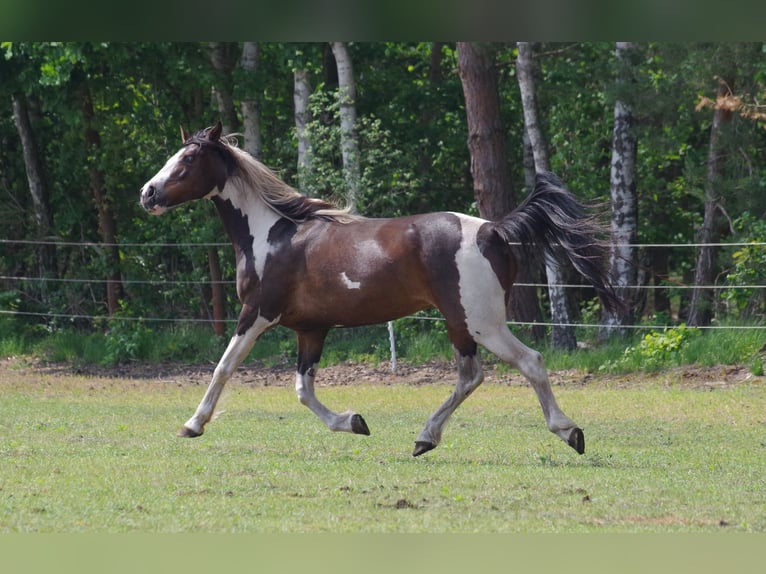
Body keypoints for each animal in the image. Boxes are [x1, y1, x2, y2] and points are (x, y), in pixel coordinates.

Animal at [142, 121, 624, 460]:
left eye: (187, 160)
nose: (147, 193)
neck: (273, 236)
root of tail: (493, 229)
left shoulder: (257, 313)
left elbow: (224, 367)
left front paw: (192, 424)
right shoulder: (311, 329)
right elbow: (303, 389)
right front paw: (354, 422)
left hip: (482, 323)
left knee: (531, 362)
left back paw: (569, 432)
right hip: (460, 323)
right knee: (471, 376)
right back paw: (424, 439)